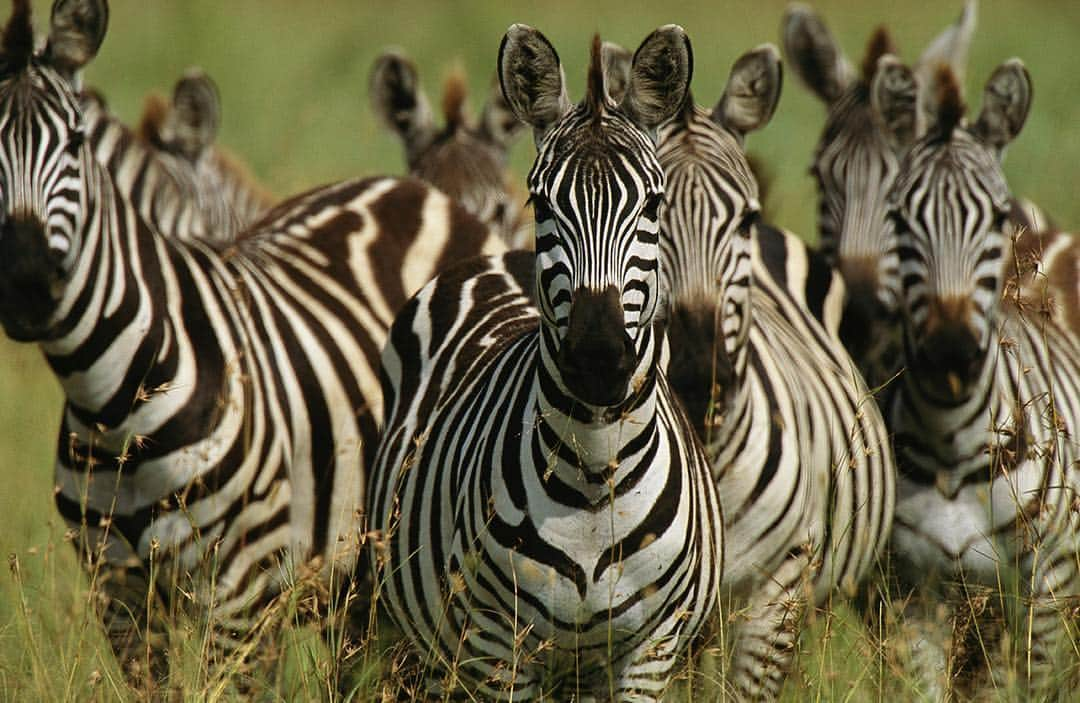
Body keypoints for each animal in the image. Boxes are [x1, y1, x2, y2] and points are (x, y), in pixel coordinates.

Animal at [0, 0, 501, 686]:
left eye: (74, 143)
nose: (26, 285)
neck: (114, 395)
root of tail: (420, 191)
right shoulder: (120, 599)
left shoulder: (237, 596)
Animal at [872, 59, 1080, 691]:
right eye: (898, 218)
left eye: (992, 216)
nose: (951, 350)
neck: (951, 445)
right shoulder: (914, 593)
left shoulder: (1046, 585)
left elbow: (1029, 687)